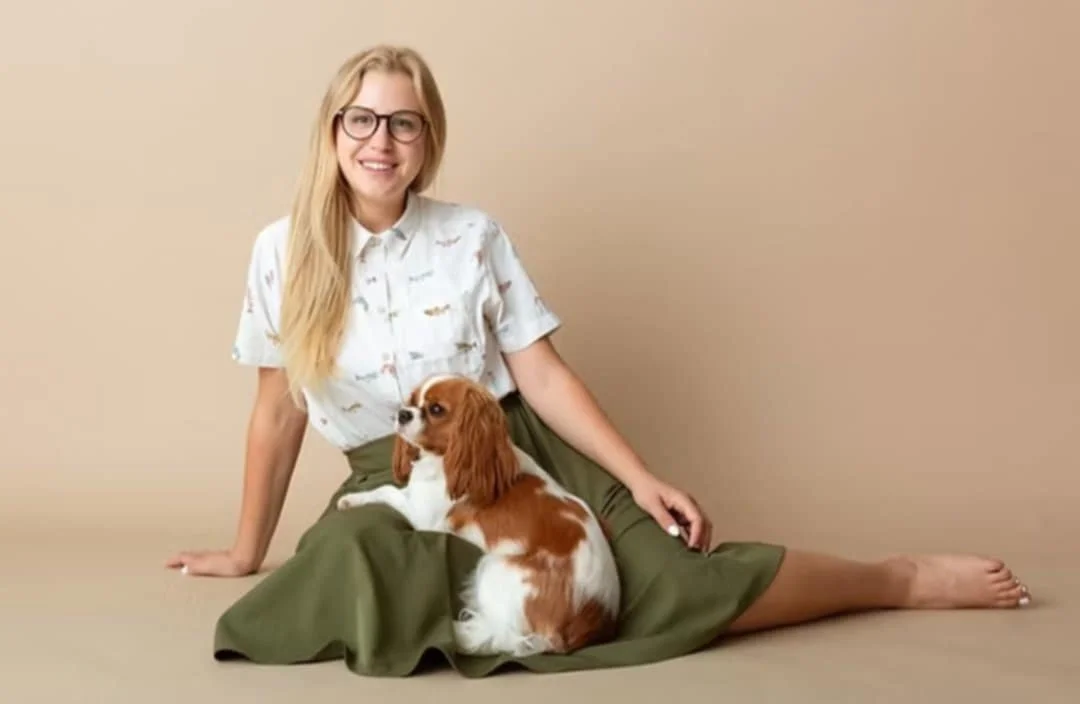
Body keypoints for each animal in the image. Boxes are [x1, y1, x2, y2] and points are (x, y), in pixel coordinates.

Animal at [336, 373, 621, 657]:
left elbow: (387, 490)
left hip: (496, 569)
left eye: (436, 409)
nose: (403, 413)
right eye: (413, 401)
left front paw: (351, 499)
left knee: (502, 634)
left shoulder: (424, 516)